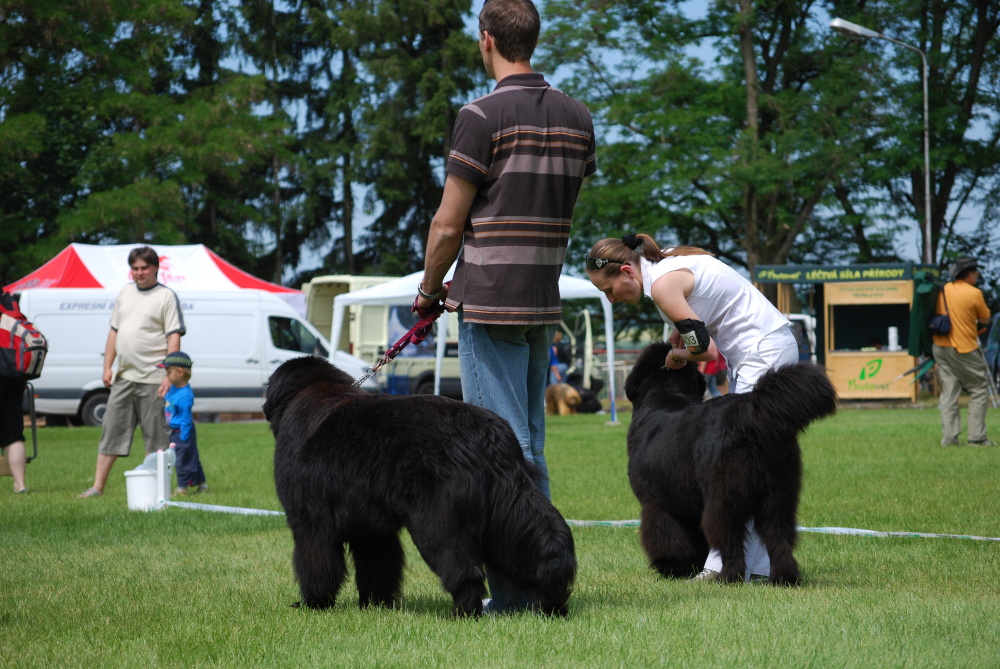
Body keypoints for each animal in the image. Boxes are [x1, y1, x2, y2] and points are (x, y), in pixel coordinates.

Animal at [264, 354, 580, 616]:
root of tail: (487, 435)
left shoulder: (310, 522)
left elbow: (316, 565)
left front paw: (314, 603)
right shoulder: (372, 530)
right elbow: (377, 567)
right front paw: (375, 604)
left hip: (437, 522)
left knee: (464, 570)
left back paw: (462, 612)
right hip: (508, 509)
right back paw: (551, 604)